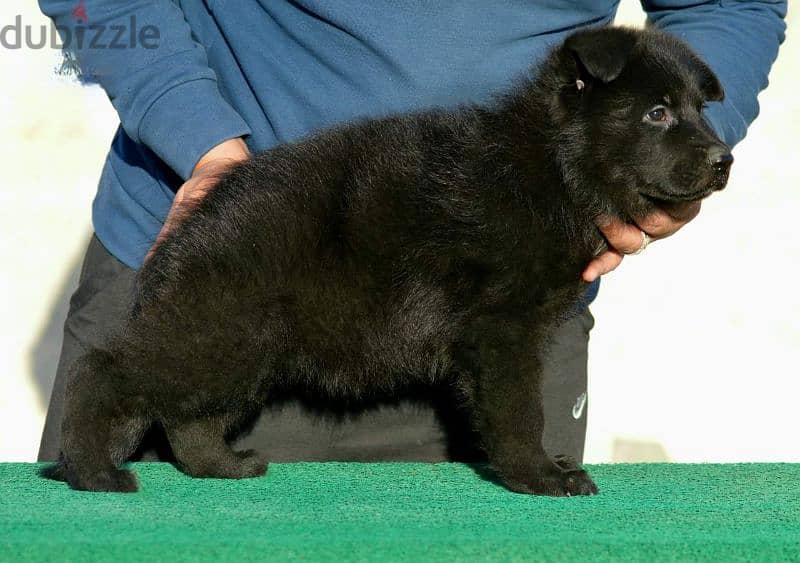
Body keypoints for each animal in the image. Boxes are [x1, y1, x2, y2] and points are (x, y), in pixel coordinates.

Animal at [43, 26, 732, 496]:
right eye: (657, 113)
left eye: (700, 110)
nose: (724, 160)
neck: (553, 168)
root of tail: (198, 222)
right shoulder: (501, 329)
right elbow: (518, 410)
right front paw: (540, 475)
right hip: (219, 329)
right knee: (105, 372)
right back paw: (93, 470)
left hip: (242, 344)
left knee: (191, 414)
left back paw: (220, 466)